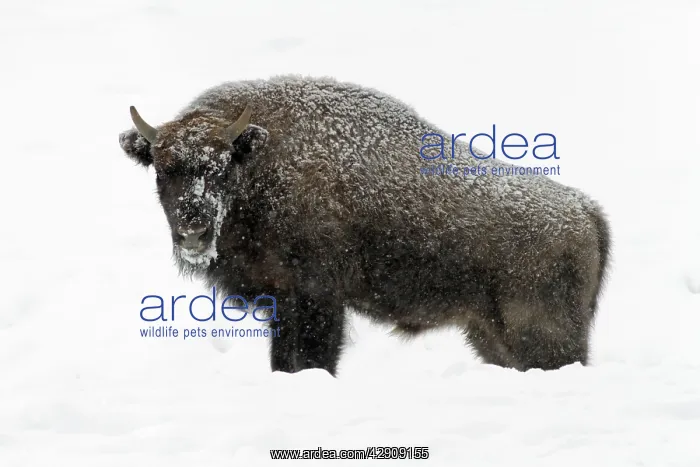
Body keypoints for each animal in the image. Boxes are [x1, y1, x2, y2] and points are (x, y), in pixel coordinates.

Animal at [118, 75, 610, 376]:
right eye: (161, 169)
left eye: (221, 168)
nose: (194, 234)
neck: (261, 164)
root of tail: (586, 212)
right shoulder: (283, 306)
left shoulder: (316, 299)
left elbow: (313, 358)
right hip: (491, 337)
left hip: (542, 338)